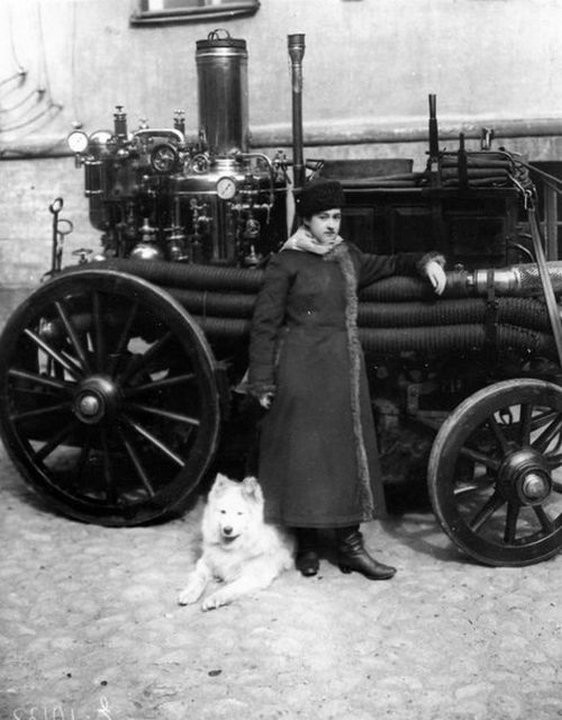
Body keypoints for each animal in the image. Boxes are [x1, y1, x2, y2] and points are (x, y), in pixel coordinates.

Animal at [177, 476, 296, 612]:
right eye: (223, 511)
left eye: (239, 513)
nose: (227, 530)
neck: (232, 548)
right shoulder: (204, 563)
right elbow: (199, 578)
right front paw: (189, 593)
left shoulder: (253, 577)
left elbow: (228, 589)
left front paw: (214, 598)